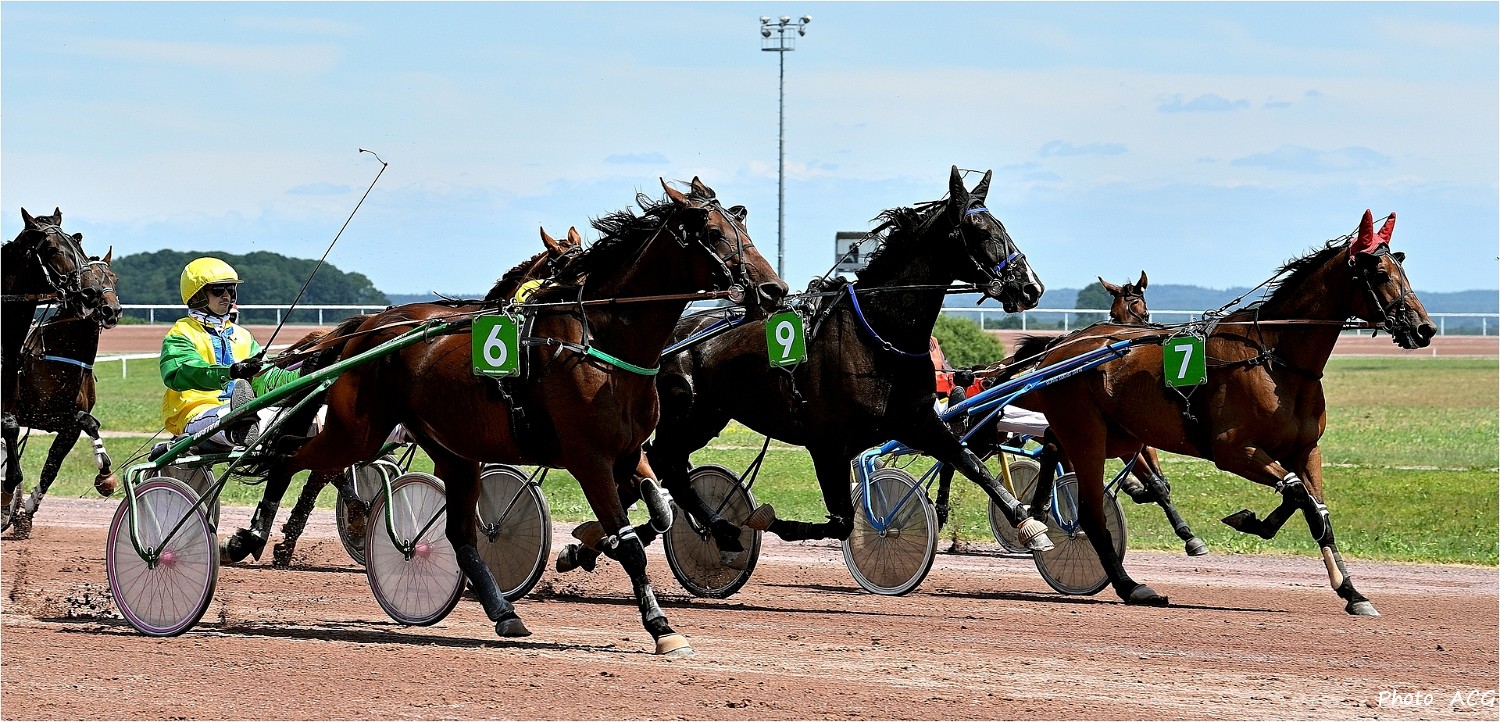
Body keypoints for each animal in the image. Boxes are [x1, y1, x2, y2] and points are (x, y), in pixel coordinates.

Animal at [2, 251, 122, 535]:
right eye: (88, 282)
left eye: (114, 278)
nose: (111, 310)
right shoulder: (40, 415)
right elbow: (87, 421)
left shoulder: (69, 428)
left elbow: (52, 468)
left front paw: (26, 514)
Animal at [554, 166, 1047, 577]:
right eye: (979, 229)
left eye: (1002, 225)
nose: (1031, 287)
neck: (878, 334)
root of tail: (670, 335)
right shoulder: (827, 443)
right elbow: (841, 522)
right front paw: (766, 520)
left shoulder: (918, 421)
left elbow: (971, 463)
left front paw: (1030, 525)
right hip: (685, 413)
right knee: (662, 462)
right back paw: (718, 529)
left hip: (709, 417)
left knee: (658, 470)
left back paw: (601, 542)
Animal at [1019, 210, 1433, 614]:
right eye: (1380, 274)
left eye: (1403, 271)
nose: (1424, 329)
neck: (1274, 359)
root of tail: (1059, 347)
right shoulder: (1232, 450)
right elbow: (1297, 493)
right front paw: (1250, 521)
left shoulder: (1305, 450)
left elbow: (1315, 509)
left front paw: (1351, 591)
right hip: (1088, 435)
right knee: (1090, 512)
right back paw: (1129, 585)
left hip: (1116, 435)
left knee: (1055, 449)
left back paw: (1037, 515)